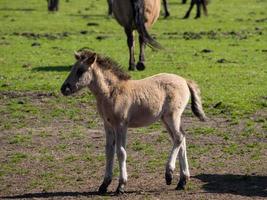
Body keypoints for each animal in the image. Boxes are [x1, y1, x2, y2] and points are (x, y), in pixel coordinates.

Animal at [60, 50, 207, 195]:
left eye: (80, 70)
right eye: (72, 69)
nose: (64, 88)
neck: (112, 92)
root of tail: (185, 80)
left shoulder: (121, 125)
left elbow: (121, 152)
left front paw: (121, 185)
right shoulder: (108, 125)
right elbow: (109, 151)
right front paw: (104, 184)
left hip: (172, 116)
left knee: (179, 138)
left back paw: (169, 174)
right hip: (166, 119)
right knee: (182, 139)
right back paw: (182, 181)